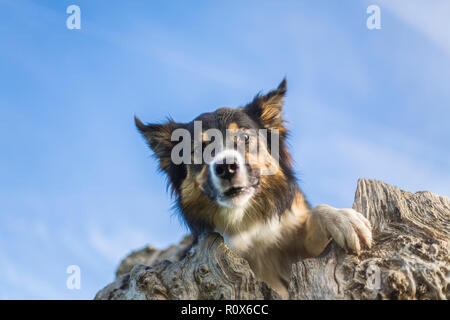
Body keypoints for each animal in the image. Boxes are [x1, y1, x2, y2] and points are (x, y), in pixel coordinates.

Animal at [134, 79, 372, 298]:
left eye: (245, 137)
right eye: (201, 149)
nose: (227, 168)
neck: (244, 220)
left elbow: (316, 216)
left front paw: (341, 218)